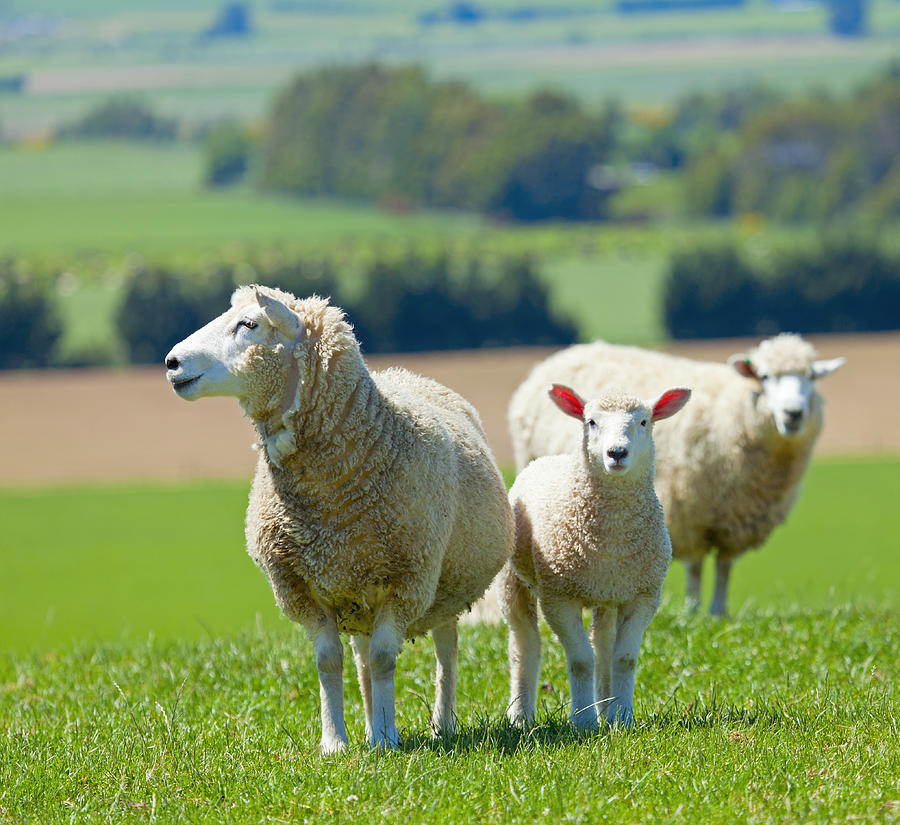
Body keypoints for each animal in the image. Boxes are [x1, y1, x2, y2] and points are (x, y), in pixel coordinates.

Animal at [163, 286, 512, 748]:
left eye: (249, 324)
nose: (171, 362)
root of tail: (406, 373)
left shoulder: (407, 581)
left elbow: (384, 658)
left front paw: (387, 738)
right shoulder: (298, 587)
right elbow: (329, 661)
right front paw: (335, 742)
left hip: (443, 586)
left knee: (445, 651)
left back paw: (441, 723)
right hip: (360, 589)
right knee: (362, 658)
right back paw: (368, 724)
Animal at [500, 380, 688, 728]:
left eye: (644, 422)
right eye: (591, 422)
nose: (617, 453)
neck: (611, 535)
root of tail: (546, 459)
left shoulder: (642, 595)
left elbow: (623, 659)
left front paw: (623, 718)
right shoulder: (558, 597)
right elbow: (580, 659)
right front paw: (583, 721)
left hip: (608, 594)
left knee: (602, 645)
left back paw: (607, 711)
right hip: (513, 580)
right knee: (524, 643)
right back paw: (521, 716)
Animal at [510, 332, 848, 616]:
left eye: (811, 377)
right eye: (764, 377)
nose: (794, 414)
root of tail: (568, 353)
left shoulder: (735, 517)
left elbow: (724, 566)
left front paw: (719, 612)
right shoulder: (690, 509)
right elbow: (696, 566)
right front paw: (695, 611)